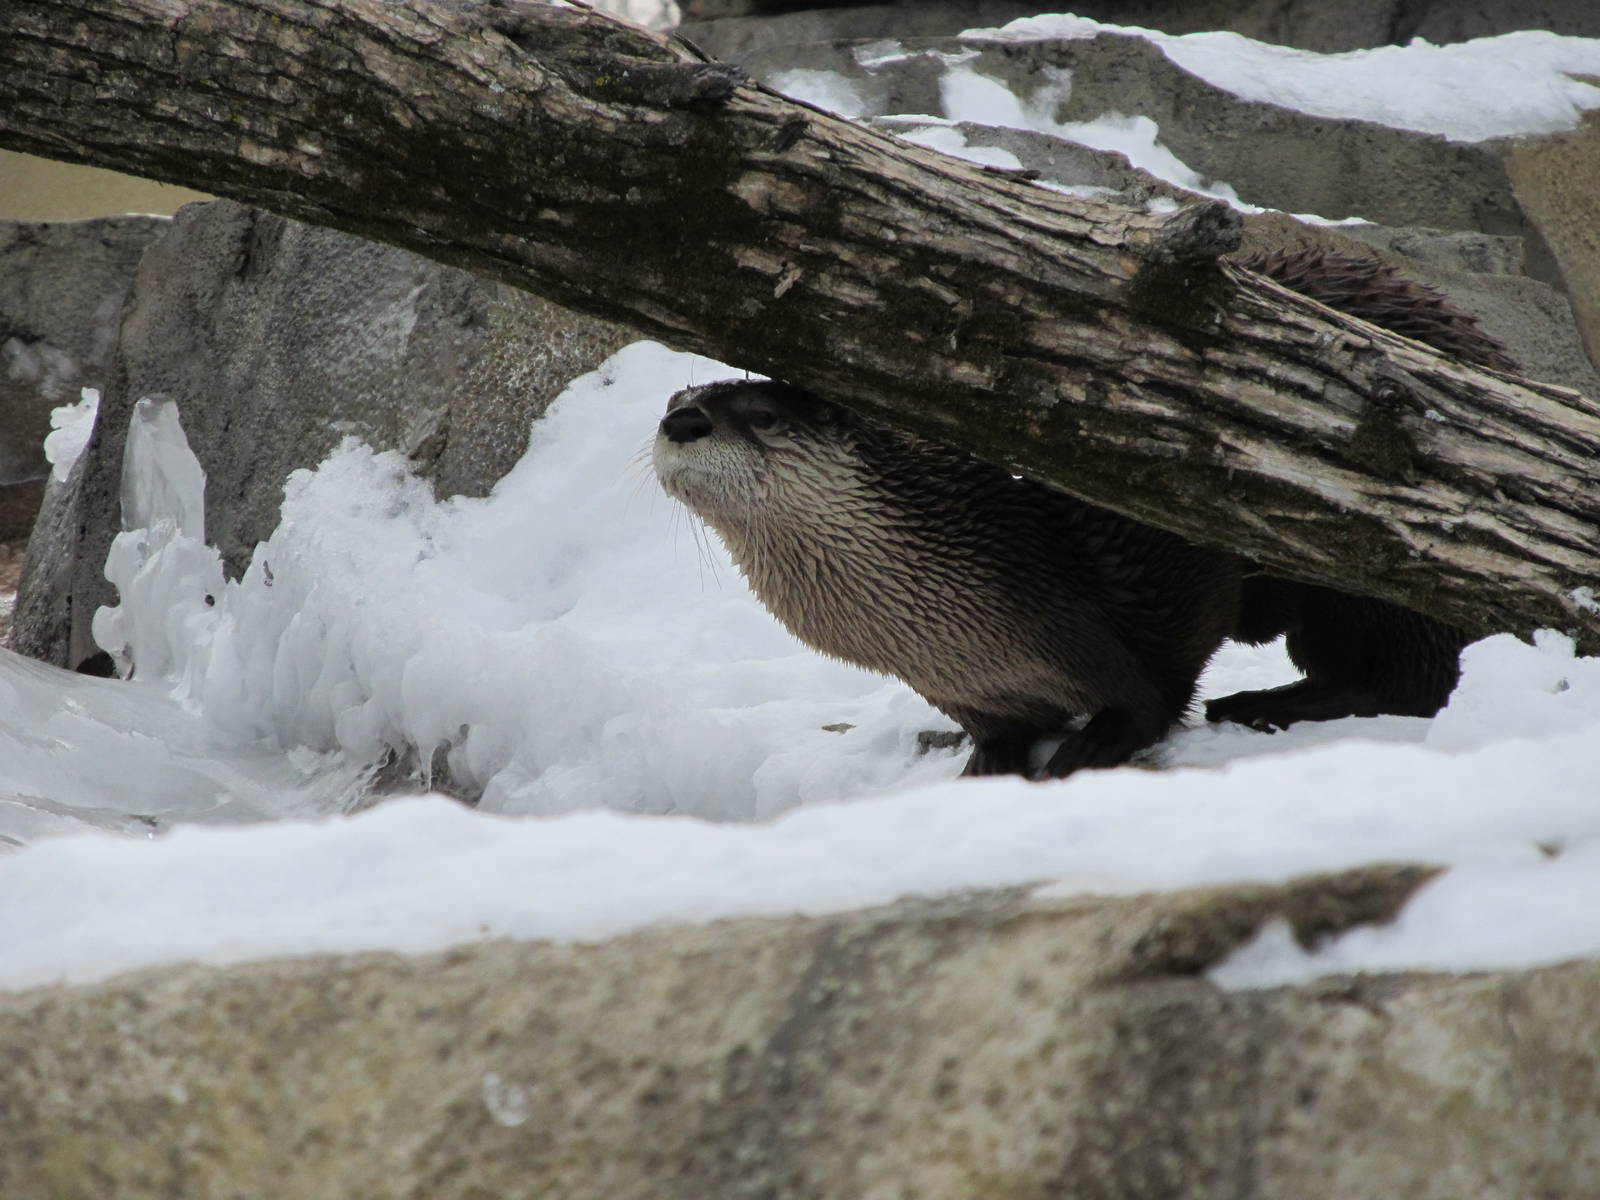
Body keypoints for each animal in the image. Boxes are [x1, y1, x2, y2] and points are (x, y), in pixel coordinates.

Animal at [653, 250, 1511, 778]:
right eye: (676, 397)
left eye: (763, 416)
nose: (684, 421)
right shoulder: (956, 683)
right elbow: (997, 733)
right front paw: (986, 766)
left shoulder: (1117, 602)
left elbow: (1153, 695)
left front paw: (1086, 752)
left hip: (1370, 579)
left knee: (1411, 678)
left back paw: (1269, 704)